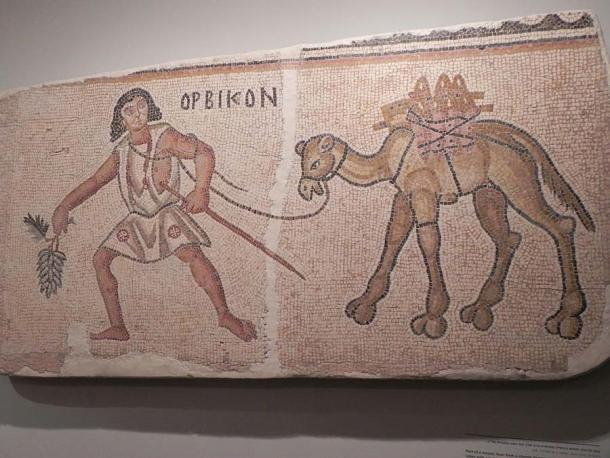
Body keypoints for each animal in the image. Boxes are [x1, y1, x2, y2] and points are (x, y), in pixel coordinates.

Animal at [294, 119, 592, 340]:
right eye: (304, 162)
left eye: (315, 163)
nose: (305, 189)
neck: (388, 161)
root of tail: (516, 138)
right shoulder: (404, 197)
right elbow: (393, 239)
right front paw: (364, 305)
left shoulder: (423, 193)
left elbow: (428, 242)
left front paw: (432, 317)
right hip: (488, 192)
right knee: (508, 238)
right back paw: (480, 308)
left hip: (517, 182)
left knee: (561, 226)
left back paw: (566, 316)